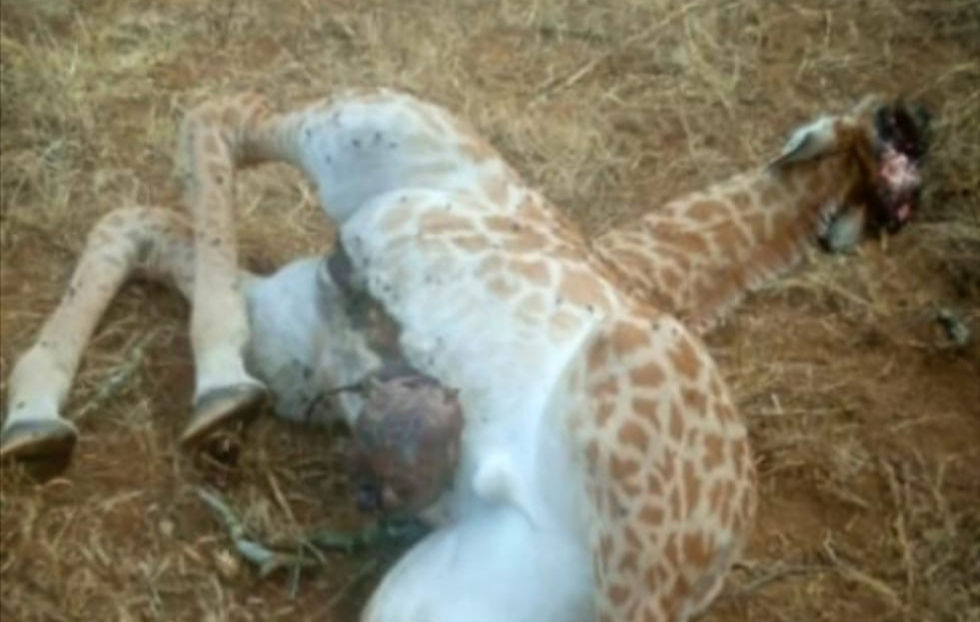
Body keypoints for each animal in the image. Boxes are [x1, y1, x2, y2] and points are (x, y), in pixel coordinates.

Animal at [0, 89, 924, 621]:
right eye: (894, 155)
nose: (923, 121)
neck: (642, 273)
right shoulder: (298, 321)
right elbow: (158, 207)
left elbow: (154, 223)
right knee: (216, 111)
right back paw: (54, 418)